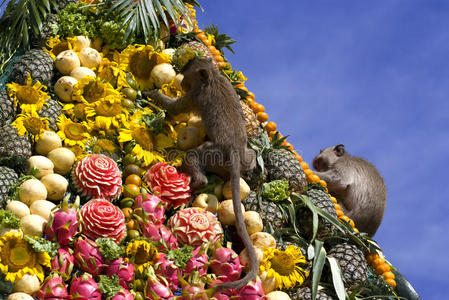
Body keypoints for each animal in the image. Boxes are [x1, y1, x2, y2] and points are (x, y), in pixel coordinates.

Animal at [142, 56, 258, 290]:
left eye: (187, 77)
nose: (182, 83)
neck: (212, 76)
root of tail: (234, 153)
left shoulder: (195, 95)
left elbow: (175, 108)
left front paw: (152, 94)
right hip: (241, 156)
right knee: (250, 156)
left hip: (214, 154)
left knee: (195, 155)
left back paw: (197, 181)